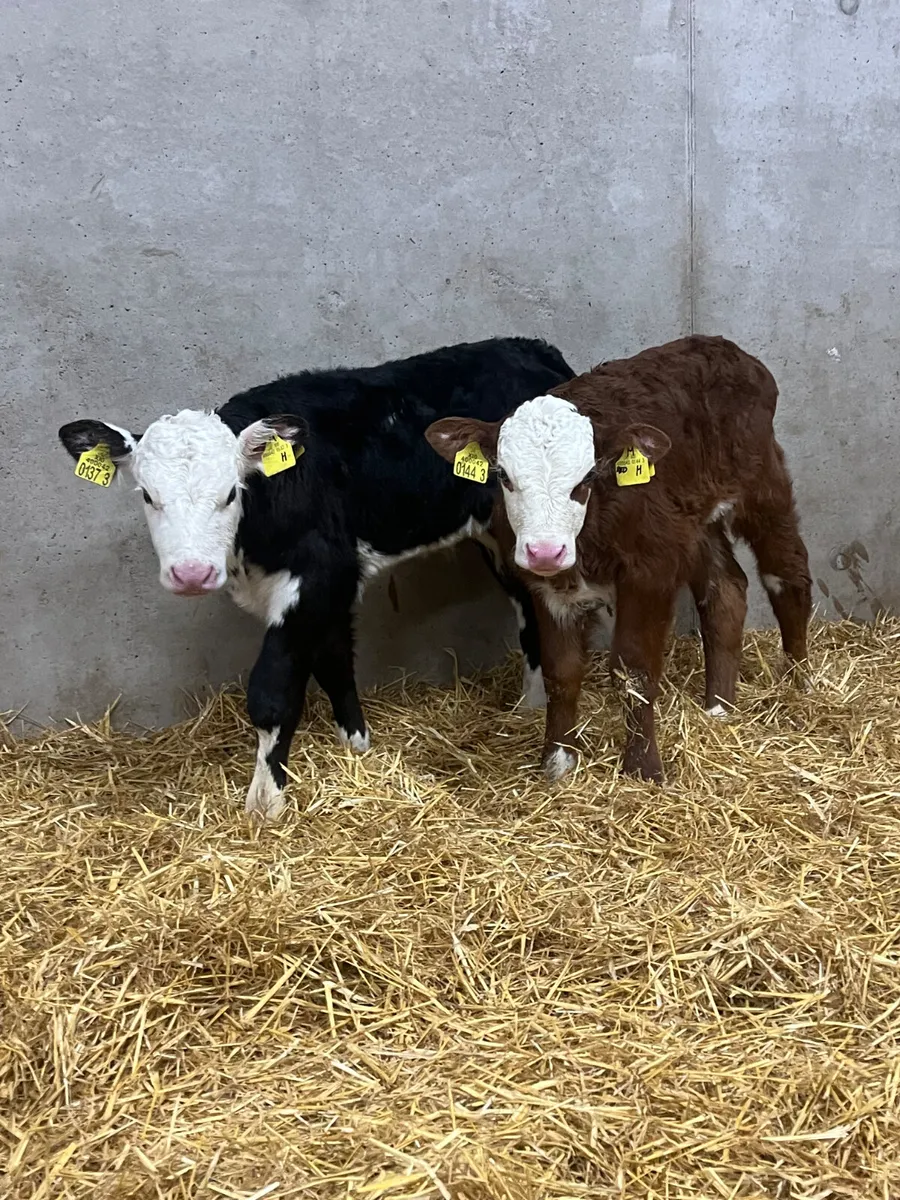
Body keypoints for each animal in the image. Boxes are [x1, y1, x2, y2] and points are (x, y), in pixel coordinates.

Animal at [59, 337, 575, 818]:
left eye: (230, 493)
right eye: (148, 495)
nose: (191, 573)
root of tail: (531, 348)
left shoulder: (317, 575)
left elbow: (273, 690)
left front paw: (265, 802)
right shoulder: (332, 585)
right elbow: (333, 665)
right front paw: (356, 747)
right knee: (525, 609)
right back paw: (528, 705)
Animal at [425, 335, 812, 784]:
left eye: (587, 478)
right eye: (503, 475)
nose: (544, 549)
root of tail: (718, 344)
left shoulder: (650, 571)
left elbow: (634, 670)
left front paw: (643, 768)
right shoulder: (547, 586)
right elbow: (561, 671)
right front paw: (558, 762)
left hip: (762, 485)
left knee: (787, 576)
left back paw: (799, 683)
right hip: (693, 523)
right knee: (725, 591)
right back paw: (719, 706)